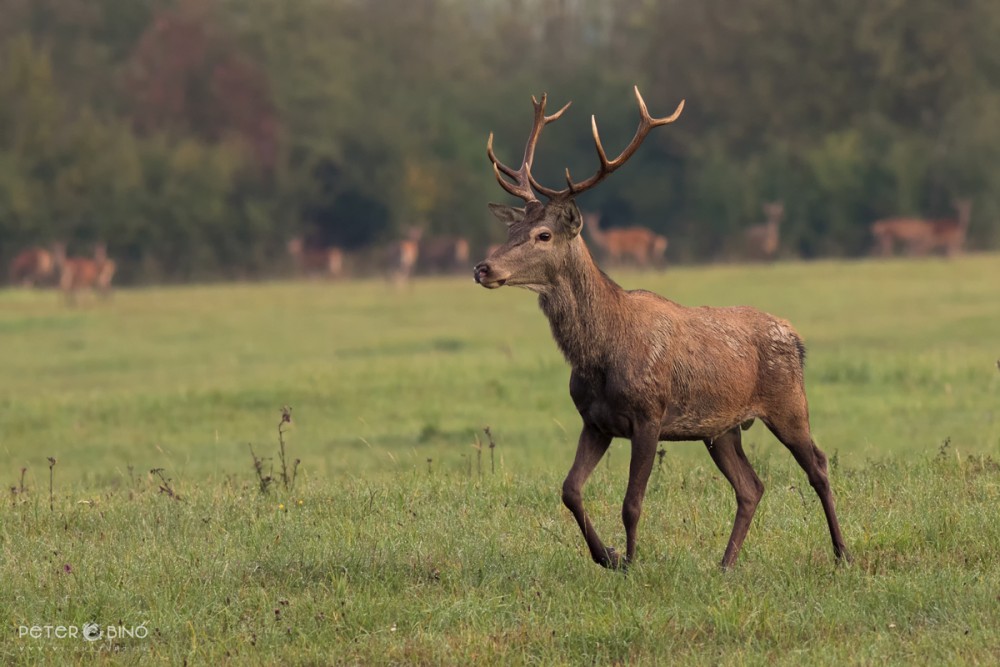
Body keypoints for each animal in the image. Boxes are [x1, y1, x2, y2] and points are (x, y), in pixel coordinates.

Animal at [472, 86, 848, 572]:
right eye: (511, 229)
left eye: (543, 235)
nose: (483, 267)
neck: (601, 354)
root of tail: (796, 338)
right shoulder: (594, 420)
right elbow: (570, 490)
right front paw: (608, 556)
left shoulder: (649, 415)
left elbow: (632, 503)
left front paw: (632, 562)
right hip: (722, 428)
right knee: (751, 486)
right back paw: (725, 565)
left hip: (789, 403)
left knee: (818, 465)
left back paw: (842, 553)